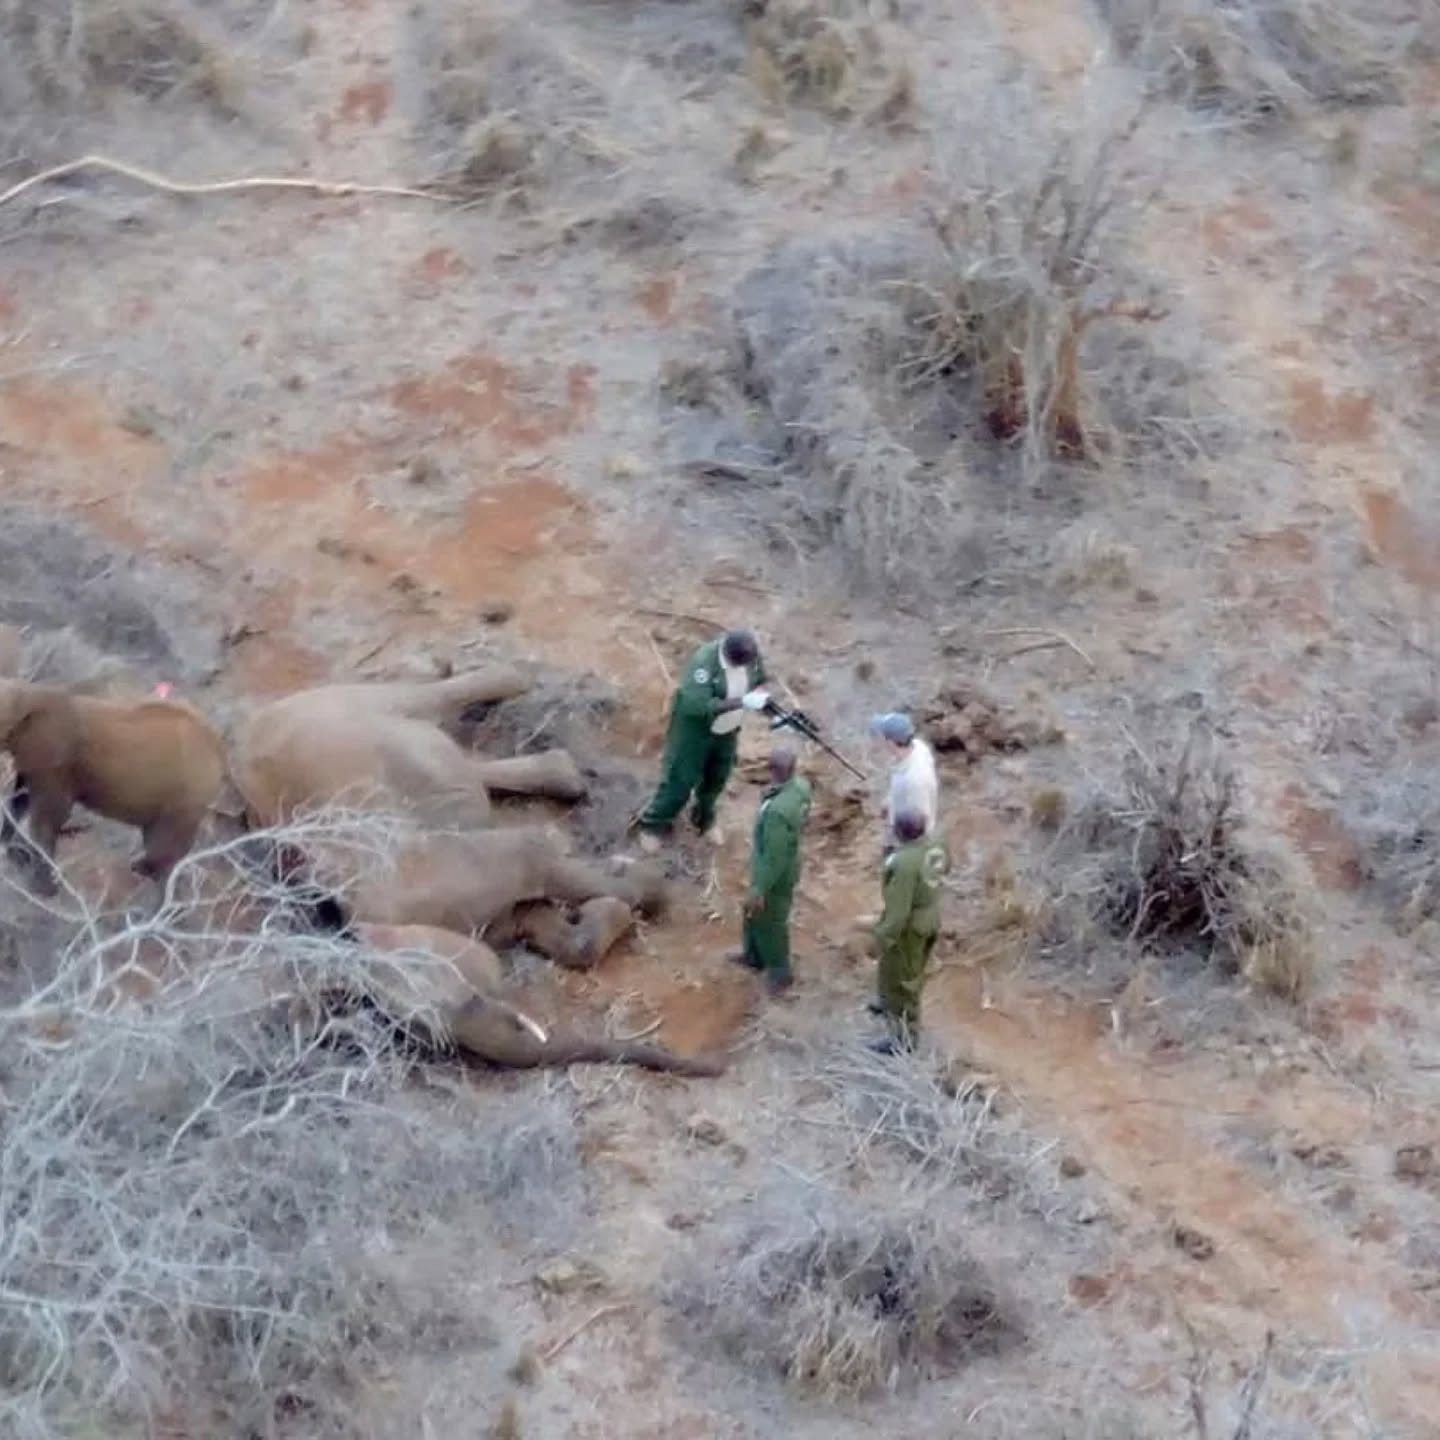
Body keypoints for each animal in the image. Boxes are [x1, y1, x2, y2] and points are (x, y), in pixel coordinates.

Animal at [0, 679, 227, 894]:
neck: (29, 693)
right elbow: (20, 801)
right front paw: (15, 856)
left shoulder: (56, 759)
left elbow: (49, 817)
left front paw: (43, 890)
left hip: (188, 796)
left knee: (163, 854)